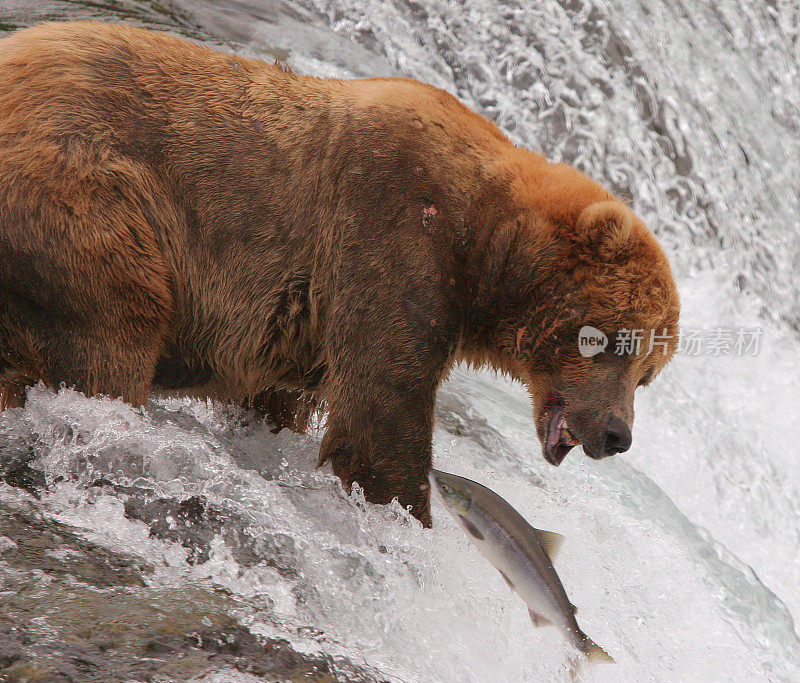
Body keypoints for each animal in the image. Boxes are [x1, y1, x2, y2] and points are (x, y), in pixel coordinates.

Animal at [0, 20, 680, 524]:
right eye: (616, 341)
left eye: (648, 372)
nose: (617, 432)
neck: (487, 248)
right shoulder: (393, 229)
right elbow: (383, 407)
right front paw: (405, 513)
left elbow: (282, 399)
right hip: (84, 194)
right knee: (116, 328)